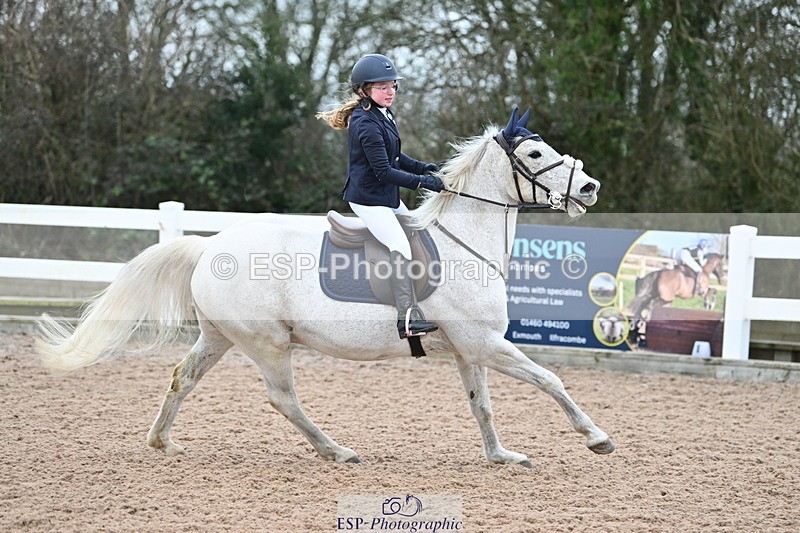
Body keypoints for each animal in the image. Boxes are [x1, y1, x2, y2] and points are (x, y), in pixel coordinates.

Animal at [36, 107, 615, 467]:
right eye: (535, 156)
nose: (590, 188)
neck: (465, 243)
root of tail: (208, 247)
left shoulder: (470, 348)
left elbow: (482, 405)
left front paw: (501, 456)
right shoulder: (485, 343)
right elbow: (550, 380)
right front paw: (597, 438)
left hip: (220, 336)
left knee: (183, 377)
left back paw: (163, 442)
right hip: (268, 342)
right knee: (282, 398)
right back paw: (336, 451)